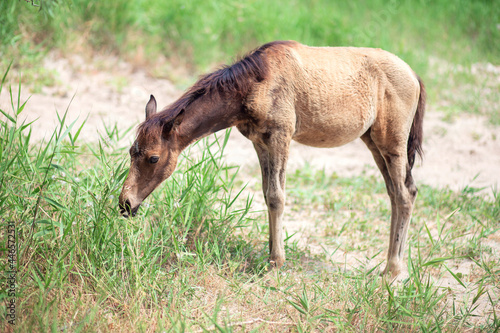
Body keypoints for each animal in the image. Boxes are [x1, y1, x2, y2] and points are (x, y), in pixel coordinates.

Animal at [119, 40, 424, 278]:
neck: (255, 84)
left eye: (153, 158)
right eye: (132, 152)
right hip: (374, 143)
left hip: (392, 143)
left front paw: (277, 261)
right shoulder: (260, 142)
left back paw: (394, 270)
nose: (125, 204)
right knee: (399, 192)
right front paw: (269, 254)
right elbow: (267, 194)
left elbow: (277, 196)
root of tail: (413, 74)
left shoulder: (280, 136)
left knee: (403, 194)